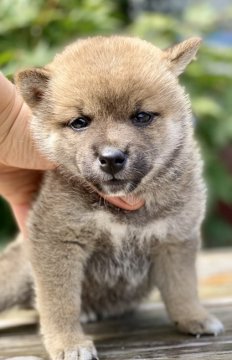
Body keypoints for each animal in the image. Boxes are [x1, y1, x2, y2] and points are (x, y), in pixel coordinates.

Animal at [0, 37, 224, 360]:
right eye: (80, 122)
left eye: (141, 116)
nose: (111, 158)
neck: (125, 210)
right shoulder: (59, 242)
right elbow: (59, 304)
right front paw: (69, 343)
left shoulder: (175, 238)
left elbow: (183, 288)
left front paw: (194, 317)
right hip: (15, 275)